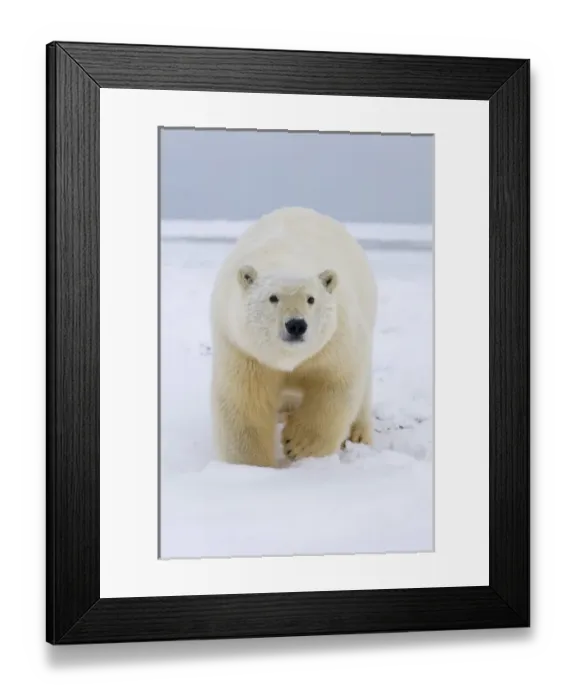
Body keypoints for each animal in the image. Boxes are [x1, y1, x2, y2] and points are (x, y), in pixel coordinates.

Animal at [209, 206, 378, 467]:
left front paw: (298, 444)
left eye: (311, 299)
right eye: (273, 297)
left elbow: (336, 384)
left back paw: (359, 434)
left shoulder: (336, 341)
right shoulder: (243, 350)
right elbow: (244, 403)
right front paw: (251, 466)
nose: (296, 325)